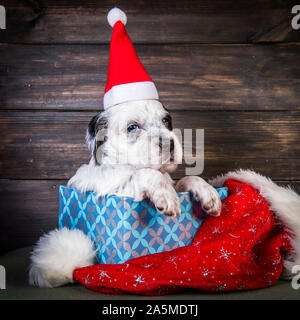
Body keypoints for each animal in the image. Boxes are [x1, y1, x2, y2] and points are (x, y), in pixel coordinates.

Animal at [28, 99, 220, 288]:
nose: (169, 143)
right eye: (132, 127)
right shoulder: (116, 189)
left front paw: (207, 191)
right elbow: (145, 174)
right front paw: (166, 194)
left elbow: (185, 179)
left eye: (166, 121)